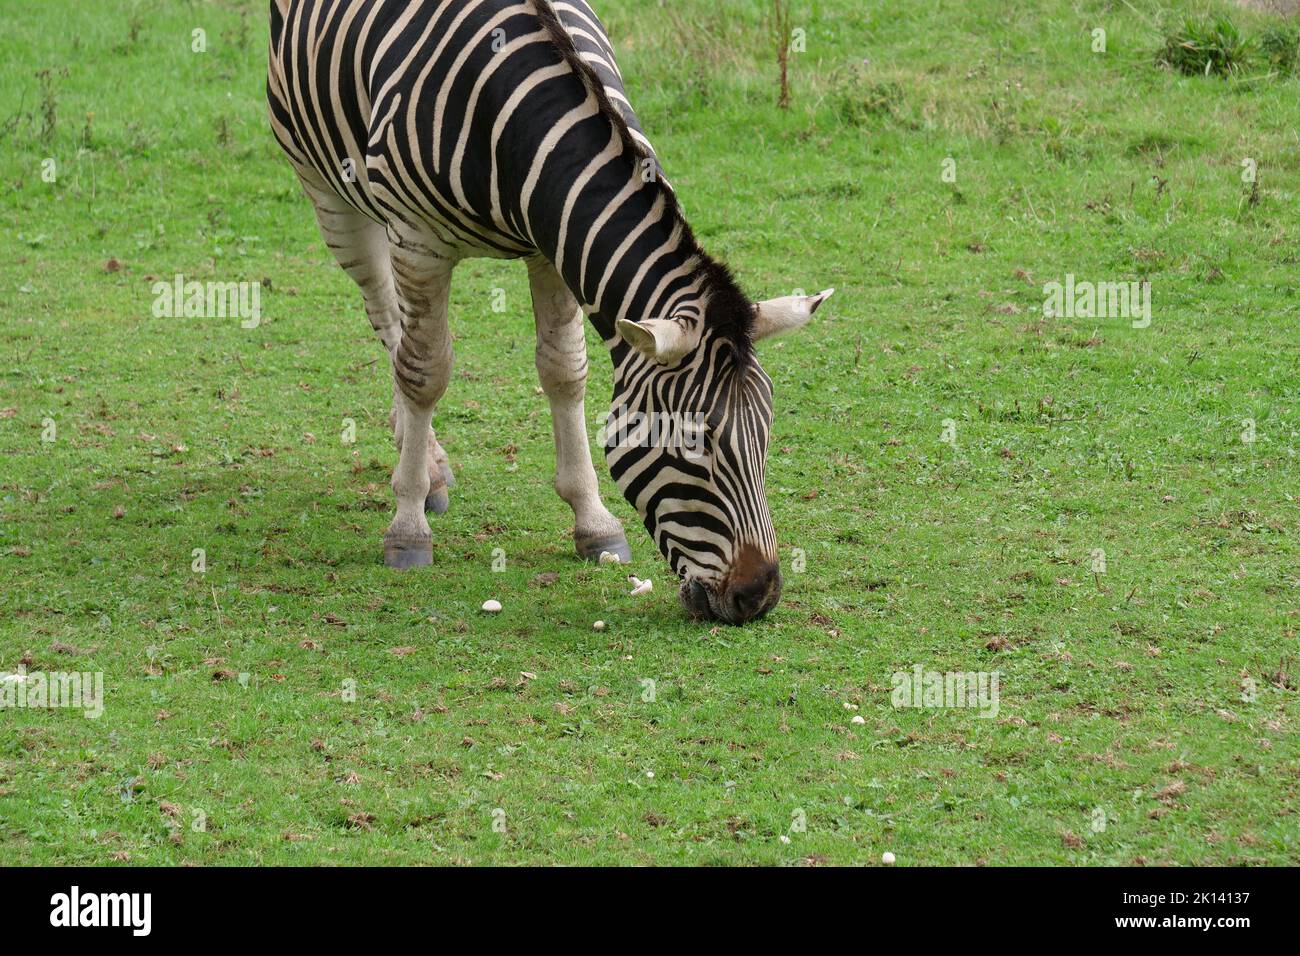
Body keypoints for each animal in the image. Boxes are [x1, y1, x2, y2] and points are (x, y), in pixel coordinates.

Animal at [265, 0, 832, 624]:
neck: (510, 122)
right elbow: (426, 373)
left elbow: (564, 371)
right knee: (391, 326)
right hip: (329, 190)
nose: (759, 597)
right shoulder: (418, 241)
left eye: (767, 432)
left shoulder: (553, 246)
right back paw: (426, 467)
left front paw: (593, 521)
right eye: (693, 444)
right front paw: (408, 526)